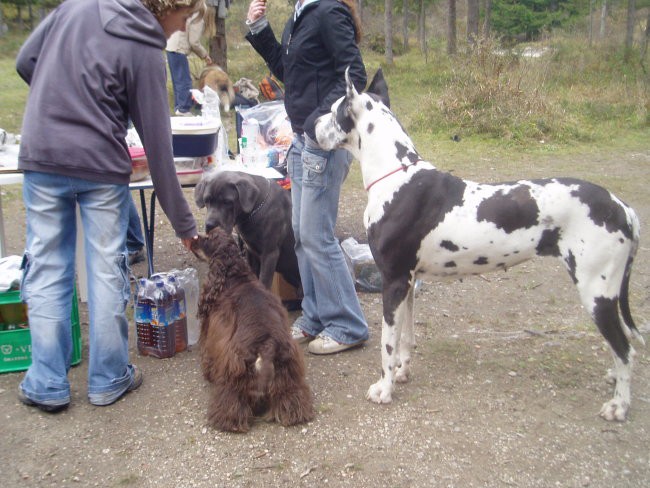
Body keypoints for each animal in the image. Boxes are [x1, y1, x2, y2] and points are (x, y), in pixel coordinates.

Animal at [190, 227, 314, 432]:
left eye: (207, 238)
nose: (192, 240)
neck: (234, 274)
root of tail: (267, 345)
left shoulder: (212, 332)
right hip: (288, 371)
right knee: (292, 399)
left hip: (235, 369)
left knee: (232, 402)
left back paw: (225, 419)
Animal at [316, 69, 644, 424]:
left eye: (333, 110)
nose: (310, 124)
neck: (396, 176)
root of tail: (623, 208)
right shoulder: (408, 283)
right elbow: (405, 337)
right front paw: (403, 372)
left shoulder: (393, 282)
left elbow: (387, 344)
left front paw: (385, 388)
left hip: (596, 292)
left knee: (625, 349)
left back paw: (619, 404)